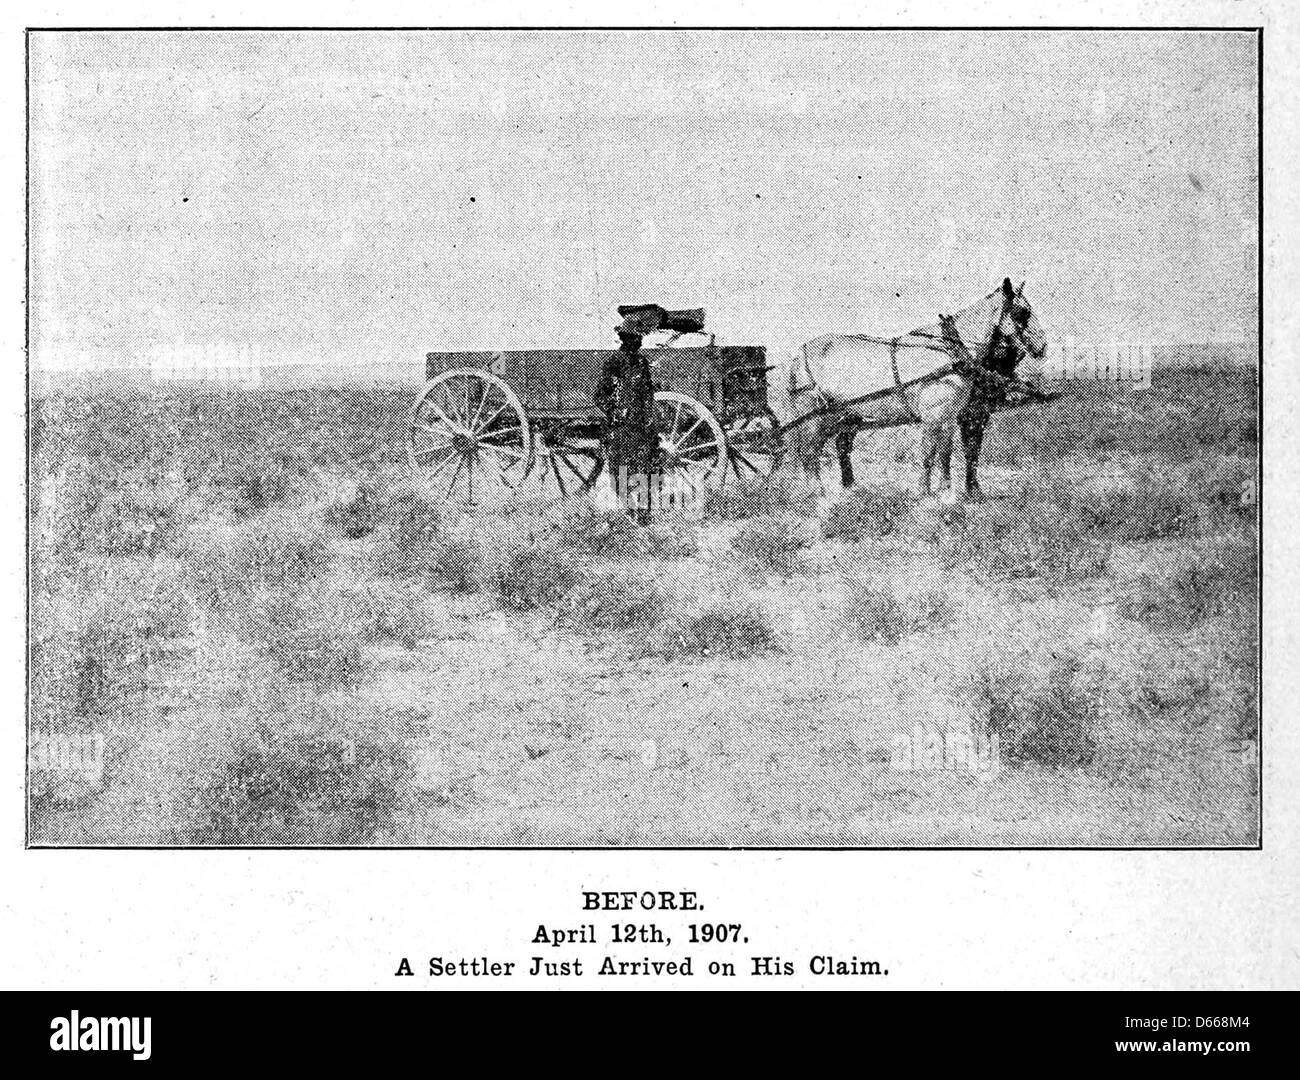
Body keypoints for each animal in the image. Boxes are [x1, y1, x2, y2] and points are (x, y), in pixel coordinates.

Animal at [769, 278, 1045, 499]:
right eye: (1022, 312)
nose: (1043, 346)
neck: (949, 352)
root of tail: (798, 355)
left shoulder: (949, 416)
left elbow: (946, 453)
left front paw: (946, 491)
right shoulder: (933, 417)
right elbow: (928, 454)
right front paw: (924, 492)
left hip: (839, 416)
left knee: (830, 448)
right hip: (815, 417)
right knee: (809, 451)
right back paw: (818, 494)